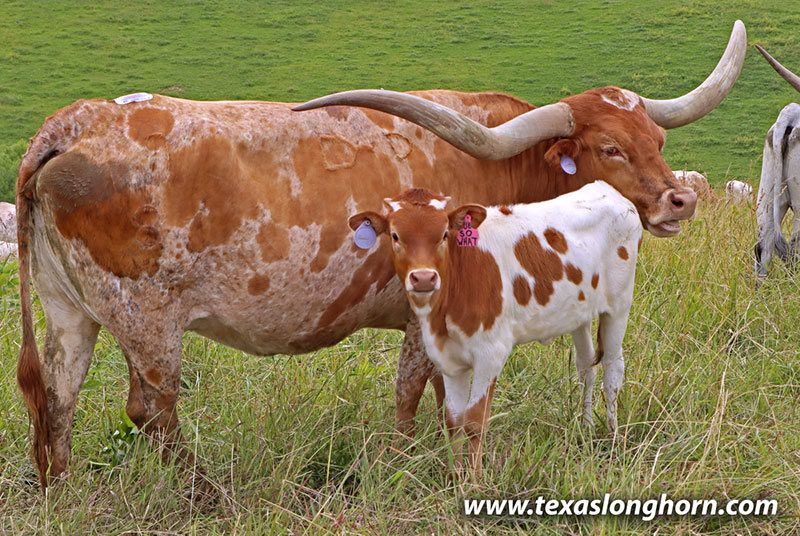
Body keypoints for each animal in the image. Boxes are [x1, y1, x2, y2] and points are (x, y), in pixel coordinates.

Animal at [348, 184, 641, 474]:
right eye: (395, 235)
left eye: (444, 234)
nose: (423, 277)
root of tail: (608, 190)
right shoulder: (447, 359)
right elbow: (454, 420)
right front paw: (455, 476)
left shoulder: (490, 354)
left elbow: (474, 422)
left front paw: (474, 479)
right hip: (579, 313)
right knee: (586, 366)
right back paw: (586, 427)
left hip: (619, 306)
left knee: (613, 369)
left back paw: (613, 438)